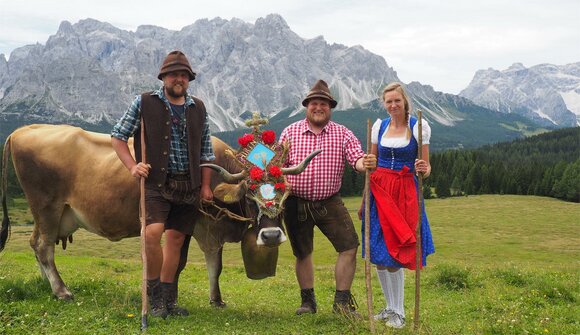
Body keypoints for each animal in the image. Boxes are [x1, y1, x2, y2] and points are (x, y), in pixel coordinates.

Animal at [0, 124, 318, 308]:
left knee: (37, 244)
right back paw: (62, 291)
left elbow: (214, 266)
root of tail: (23, 130)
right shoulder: (190, 224)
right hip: (46, 206)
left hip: (53, 214)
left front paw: (216, 300)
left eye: (285, 193)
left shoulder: (209, 228)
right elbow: (178, 264)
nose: (272, 235)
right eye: (250, 196)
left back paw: (48, 285)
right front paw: (170, 299)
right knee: (44, 246)